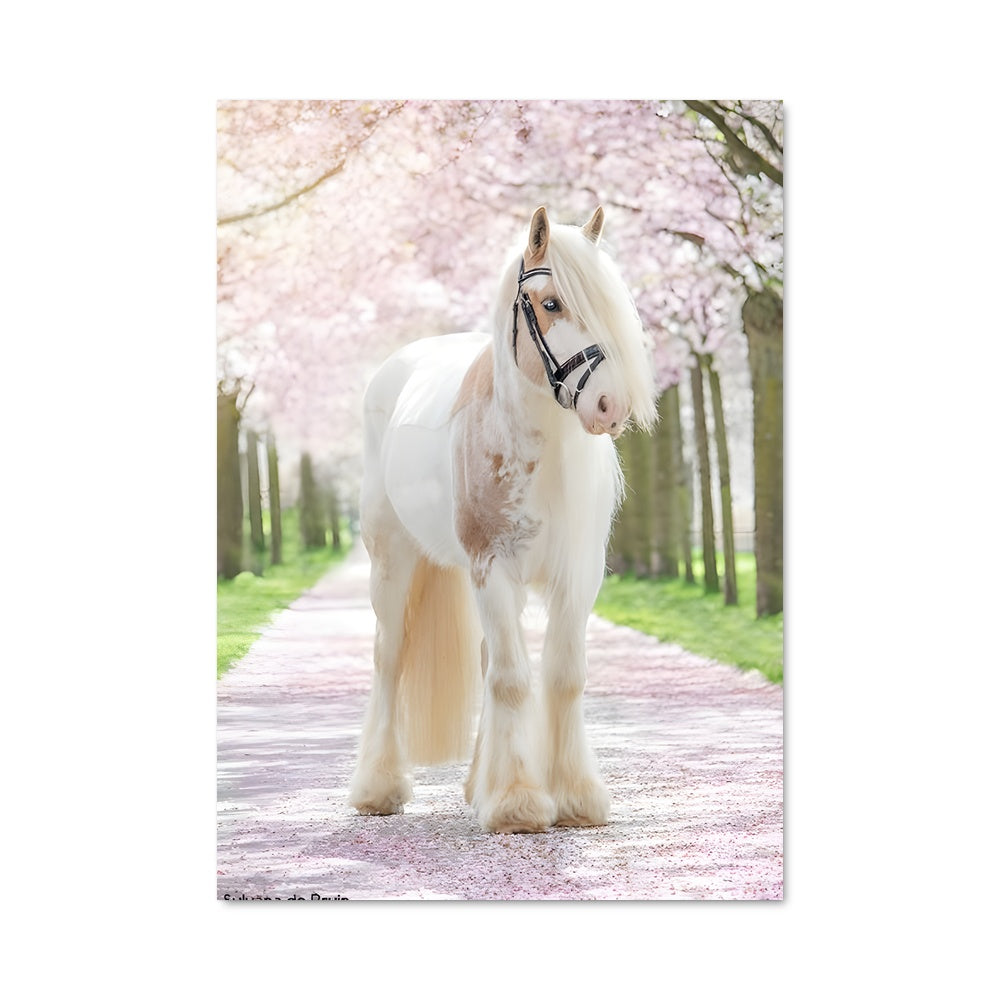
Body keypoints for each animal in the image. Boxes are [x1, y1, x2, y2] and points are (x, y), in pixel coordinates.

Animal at [348, 206, 657, 833]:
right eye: (551, 303)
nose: (609, 406)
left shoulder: (576, 578)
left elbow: (562, 676)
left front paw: (575, 797)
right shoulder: (492, 567)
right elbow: (513, 680)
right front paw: (517, 803)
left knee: (491, 659)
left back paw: (475, 786)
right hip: (391, 562)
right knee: (390, 657)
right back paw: (378, 788)